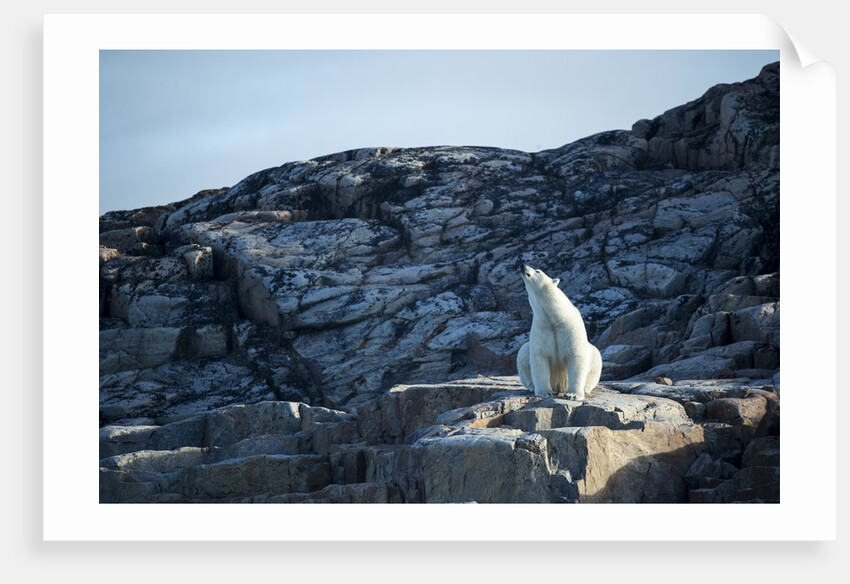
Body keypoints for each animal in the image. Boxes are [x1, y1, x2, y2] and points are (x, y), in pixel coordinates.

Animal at [516, 264, 602, 400]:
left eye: (538, 271)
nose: (523, 265)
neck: (555, 318)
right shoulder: (542, 327)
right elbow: (539, 356)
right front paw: (546, 392)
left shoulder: (570, 329)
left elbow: (576, 356)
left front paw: (573, 394)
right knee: (523, 352)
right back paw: (532, 386)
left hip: (594, 357)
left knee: (596, 355)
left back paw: (586, 388)